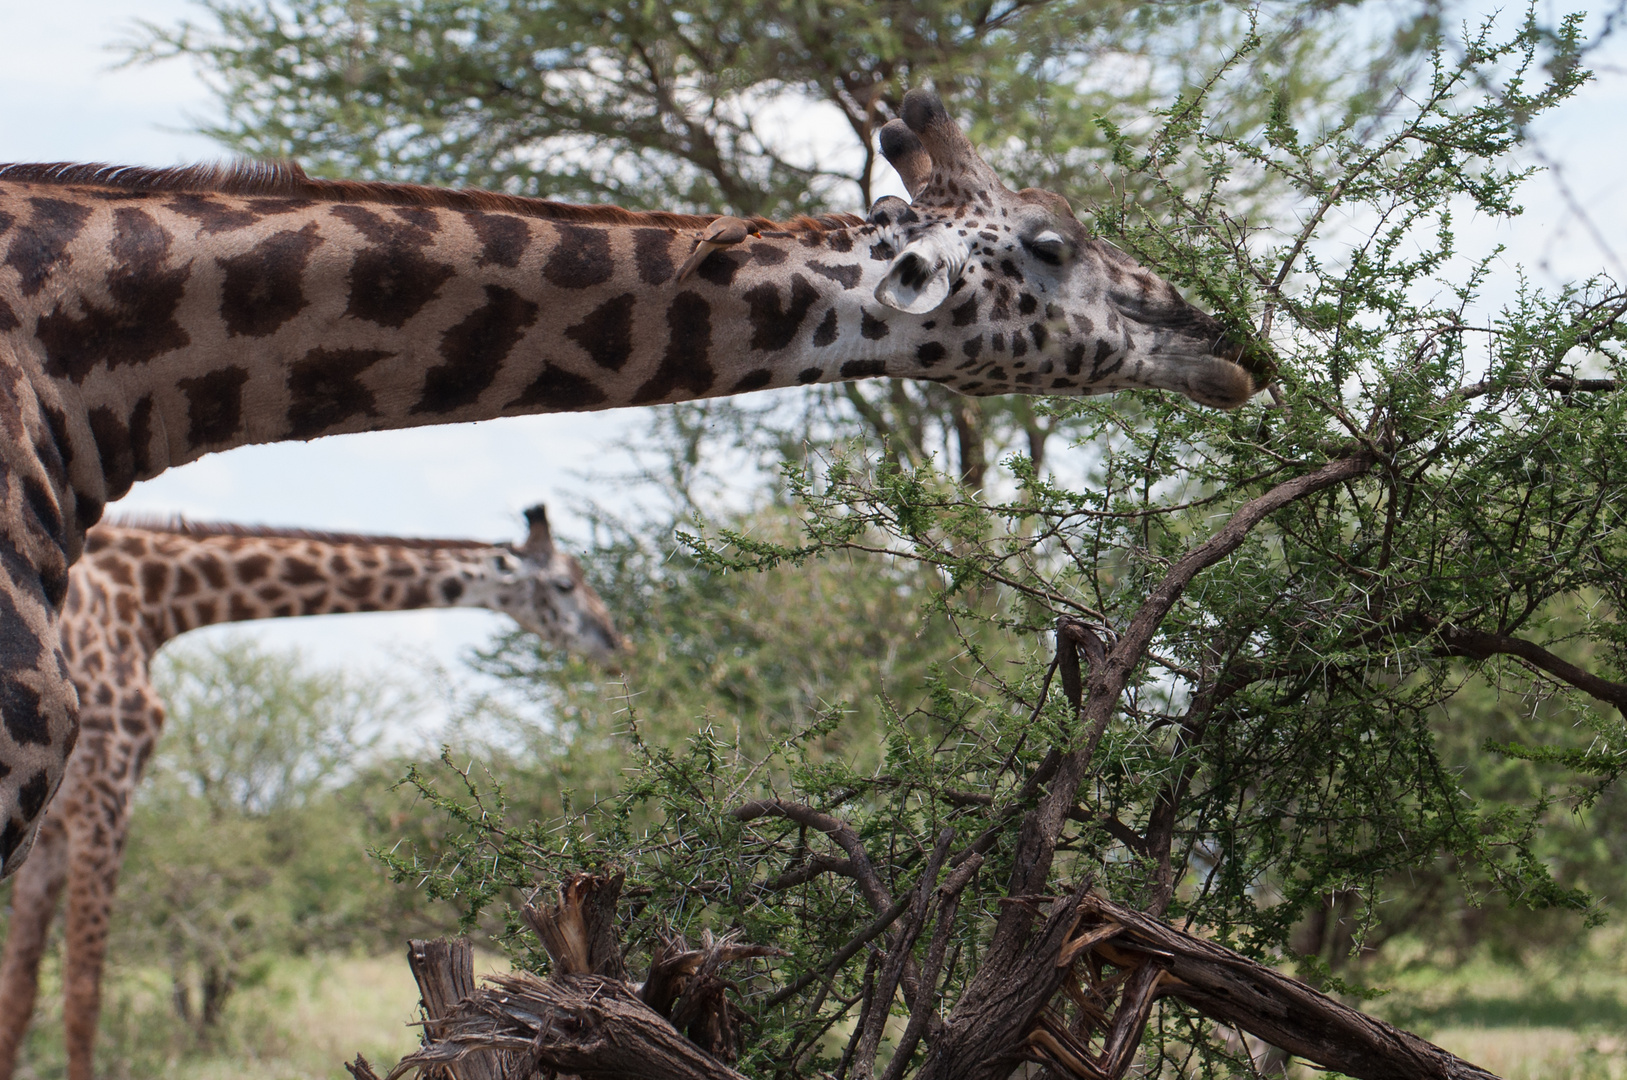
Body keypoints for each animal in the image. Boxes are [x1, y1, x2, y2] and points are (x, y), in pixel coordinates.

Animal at [0, 507, 618, 1080]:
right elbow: (83, 992)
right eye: (565, 584)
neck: (153, 598)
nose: (615, 640)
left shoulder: (52, 824)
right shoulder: (106, 781)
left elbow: (20, 989)